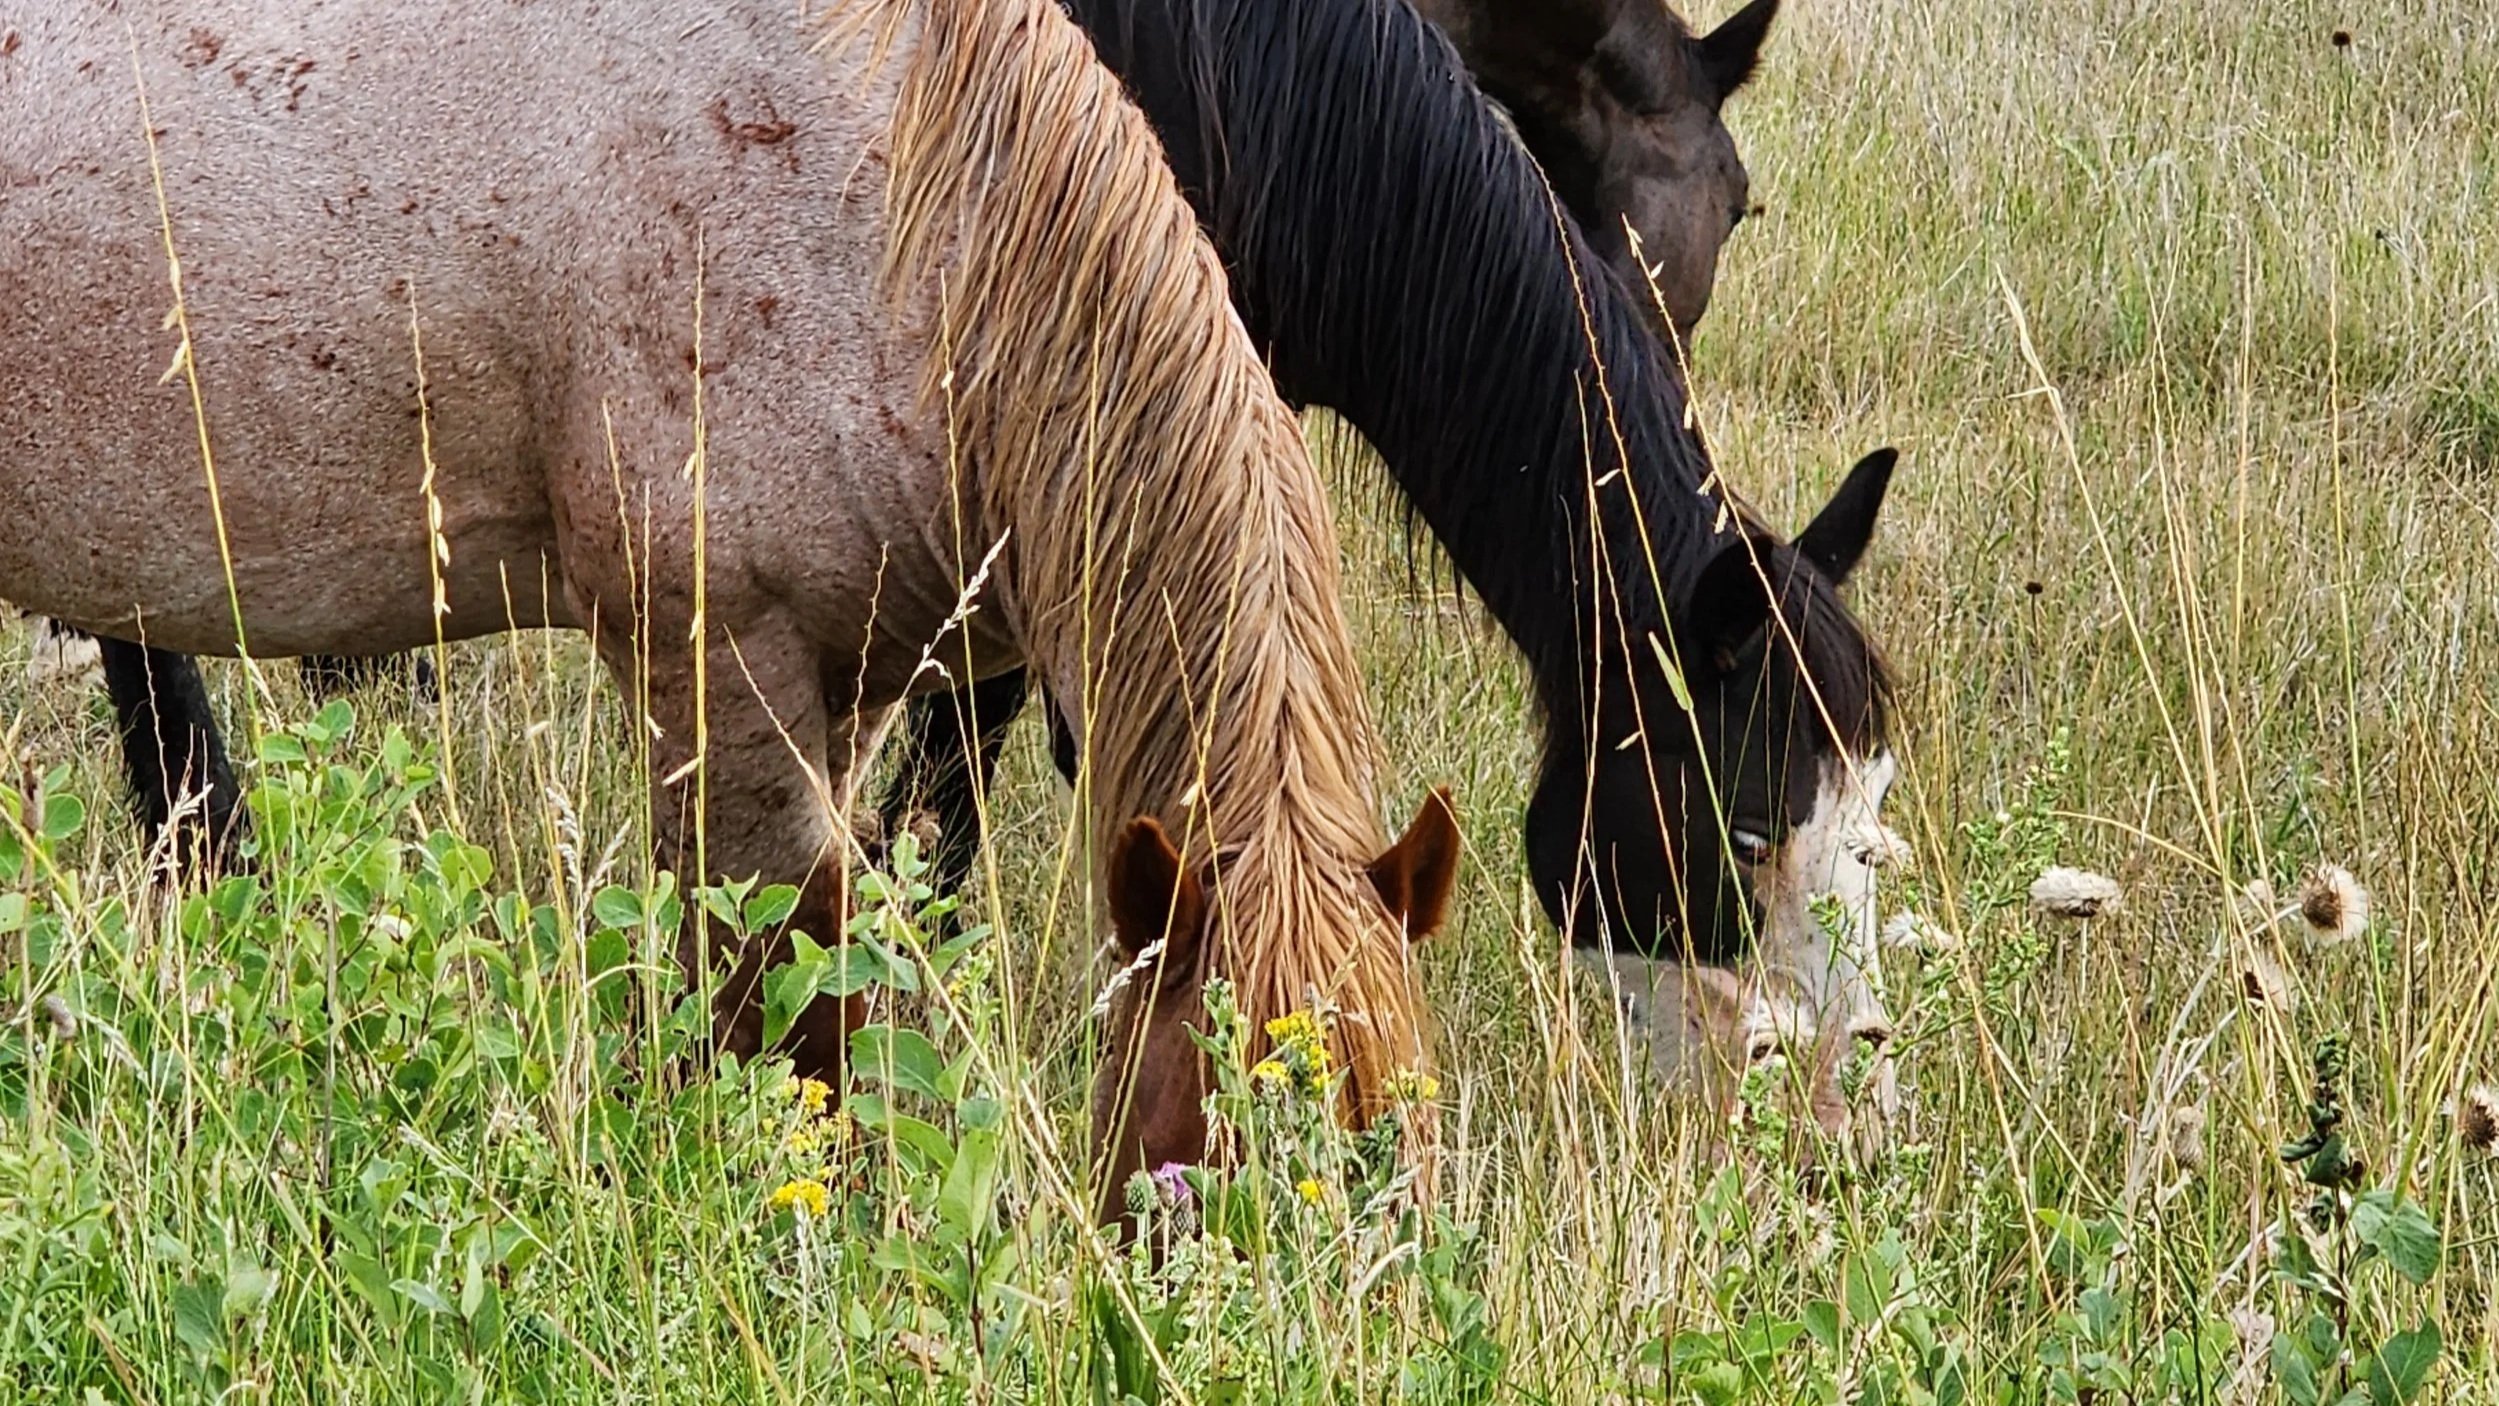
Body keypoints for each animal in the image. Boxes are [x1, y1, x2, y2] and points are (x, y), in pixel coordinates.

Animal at [0, 0, 1459, 1202]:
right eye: (1194, 1175)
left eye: (1409, 1164)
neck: (881, 212)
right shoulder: (719, 671)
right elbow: (791, 1001)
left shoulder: (853, 676)